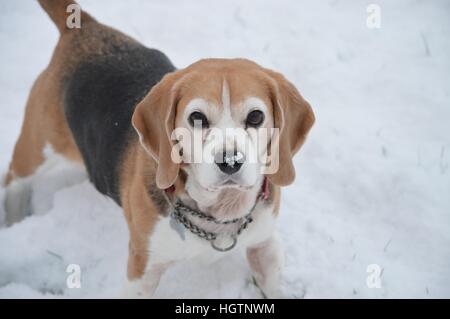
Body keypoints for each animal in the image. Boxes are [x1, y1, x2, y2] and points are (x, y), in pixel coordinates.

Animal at [3, 0, 314, 300]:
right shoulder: (142, 268)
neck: (218, 212)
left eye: (256, 117)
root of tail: (84, 29)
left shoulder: (265, 244)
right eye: (197, 117)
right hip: (39, 148)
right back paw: (14, 219)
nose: (230, 161)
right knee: (12, 177)